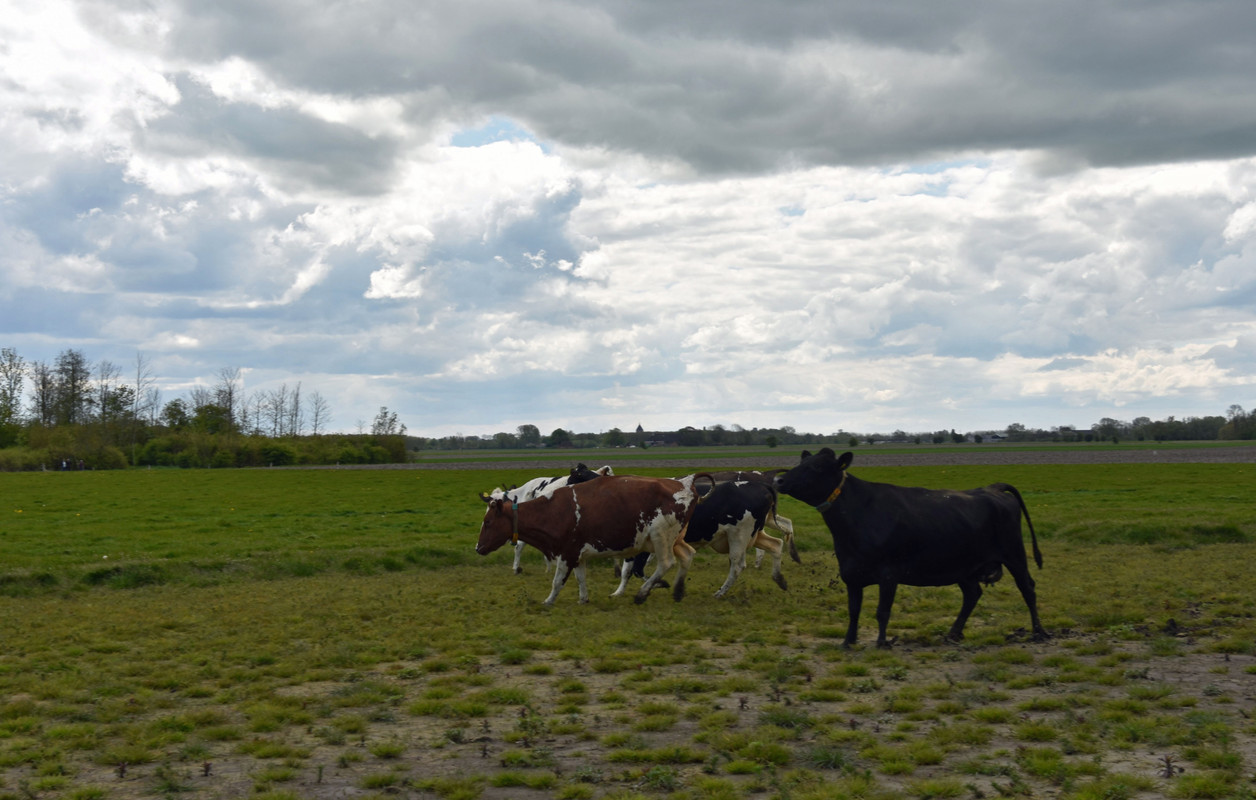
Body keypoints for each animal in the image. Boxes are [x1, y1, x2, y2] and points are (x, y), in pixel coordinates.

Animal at [774, 449, 1047, 647]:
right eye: (801, 463)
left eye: (816, 467)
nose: (779, 479)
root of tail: (992, 488)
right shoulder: (850, 573)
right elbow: (854, 610)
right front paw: (847, 642)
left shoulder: (889, 573)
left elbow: (882, 611)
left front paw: (882, 642)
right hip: (963, 566)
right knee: (972, 594)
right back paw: (953, 633)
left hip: (1014, 554)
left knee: (1028, 588)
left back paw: (1039, 632)